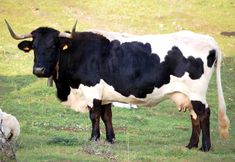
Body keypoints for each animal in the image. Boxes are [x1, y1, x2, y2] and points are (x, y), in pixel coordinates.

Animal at [5, 20, 229, 152]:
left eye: (53, 45)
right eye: (34, 47)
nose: (39, 70)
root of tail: (208, 39)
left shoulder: (92, 90)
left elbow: (94, 115)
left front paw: (94, 139)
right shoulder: (104, 94)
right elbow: (107, 115)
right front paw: (110, 139)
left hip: (197, 93)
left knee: (203, 114)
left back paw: (205, 147)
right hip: (188, 94)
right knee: (194, 117)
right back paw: (191, 145)